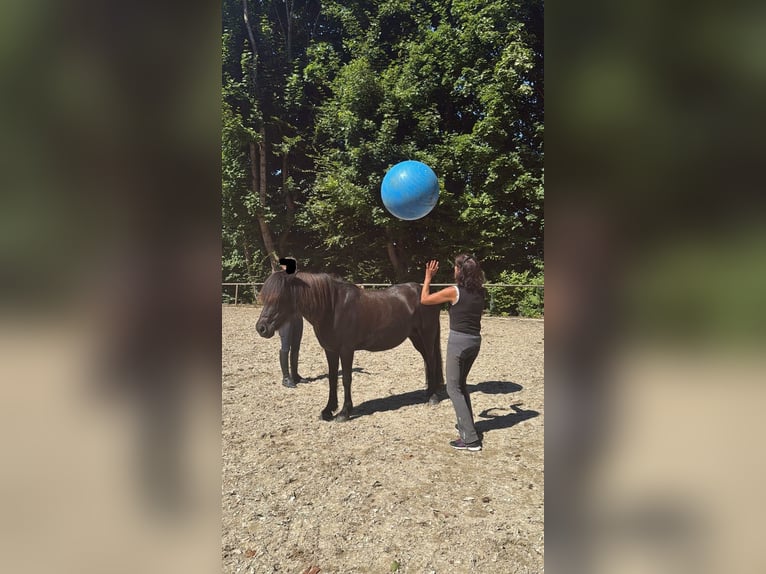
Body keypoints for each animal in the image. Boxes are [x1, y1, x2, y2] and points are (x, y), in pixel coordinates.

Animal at [255, 270, 445, 422]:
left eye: (279, 298)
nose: (261, 328)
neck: (332, 307)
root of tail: (427, 292)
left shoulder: (347, 350)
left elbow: (346, 379)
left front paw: (344, 412)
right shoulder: (330, 350)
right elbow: (332, 379)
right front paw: (328, 410)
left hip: (427, 336)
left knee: (431, 361)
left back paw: (433, 397)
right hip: (416, 337)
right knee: (427, 361)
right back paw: (428, 392)